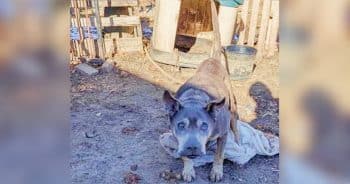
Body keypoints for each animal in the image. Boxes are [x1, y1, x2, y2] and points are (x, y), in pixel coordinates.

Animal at [163, 0, 239, 182]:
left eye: (204, 125)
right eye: (180, 125)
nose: (192, 147)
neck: (195, 99)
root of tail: (213, 58)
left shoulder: (223, 134)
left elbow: (219, 155)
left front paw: (217, 171)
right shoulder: (177, 138)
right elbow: (184, 156)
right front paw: (188, 169)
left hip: (232, 104)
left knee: (235, 121)